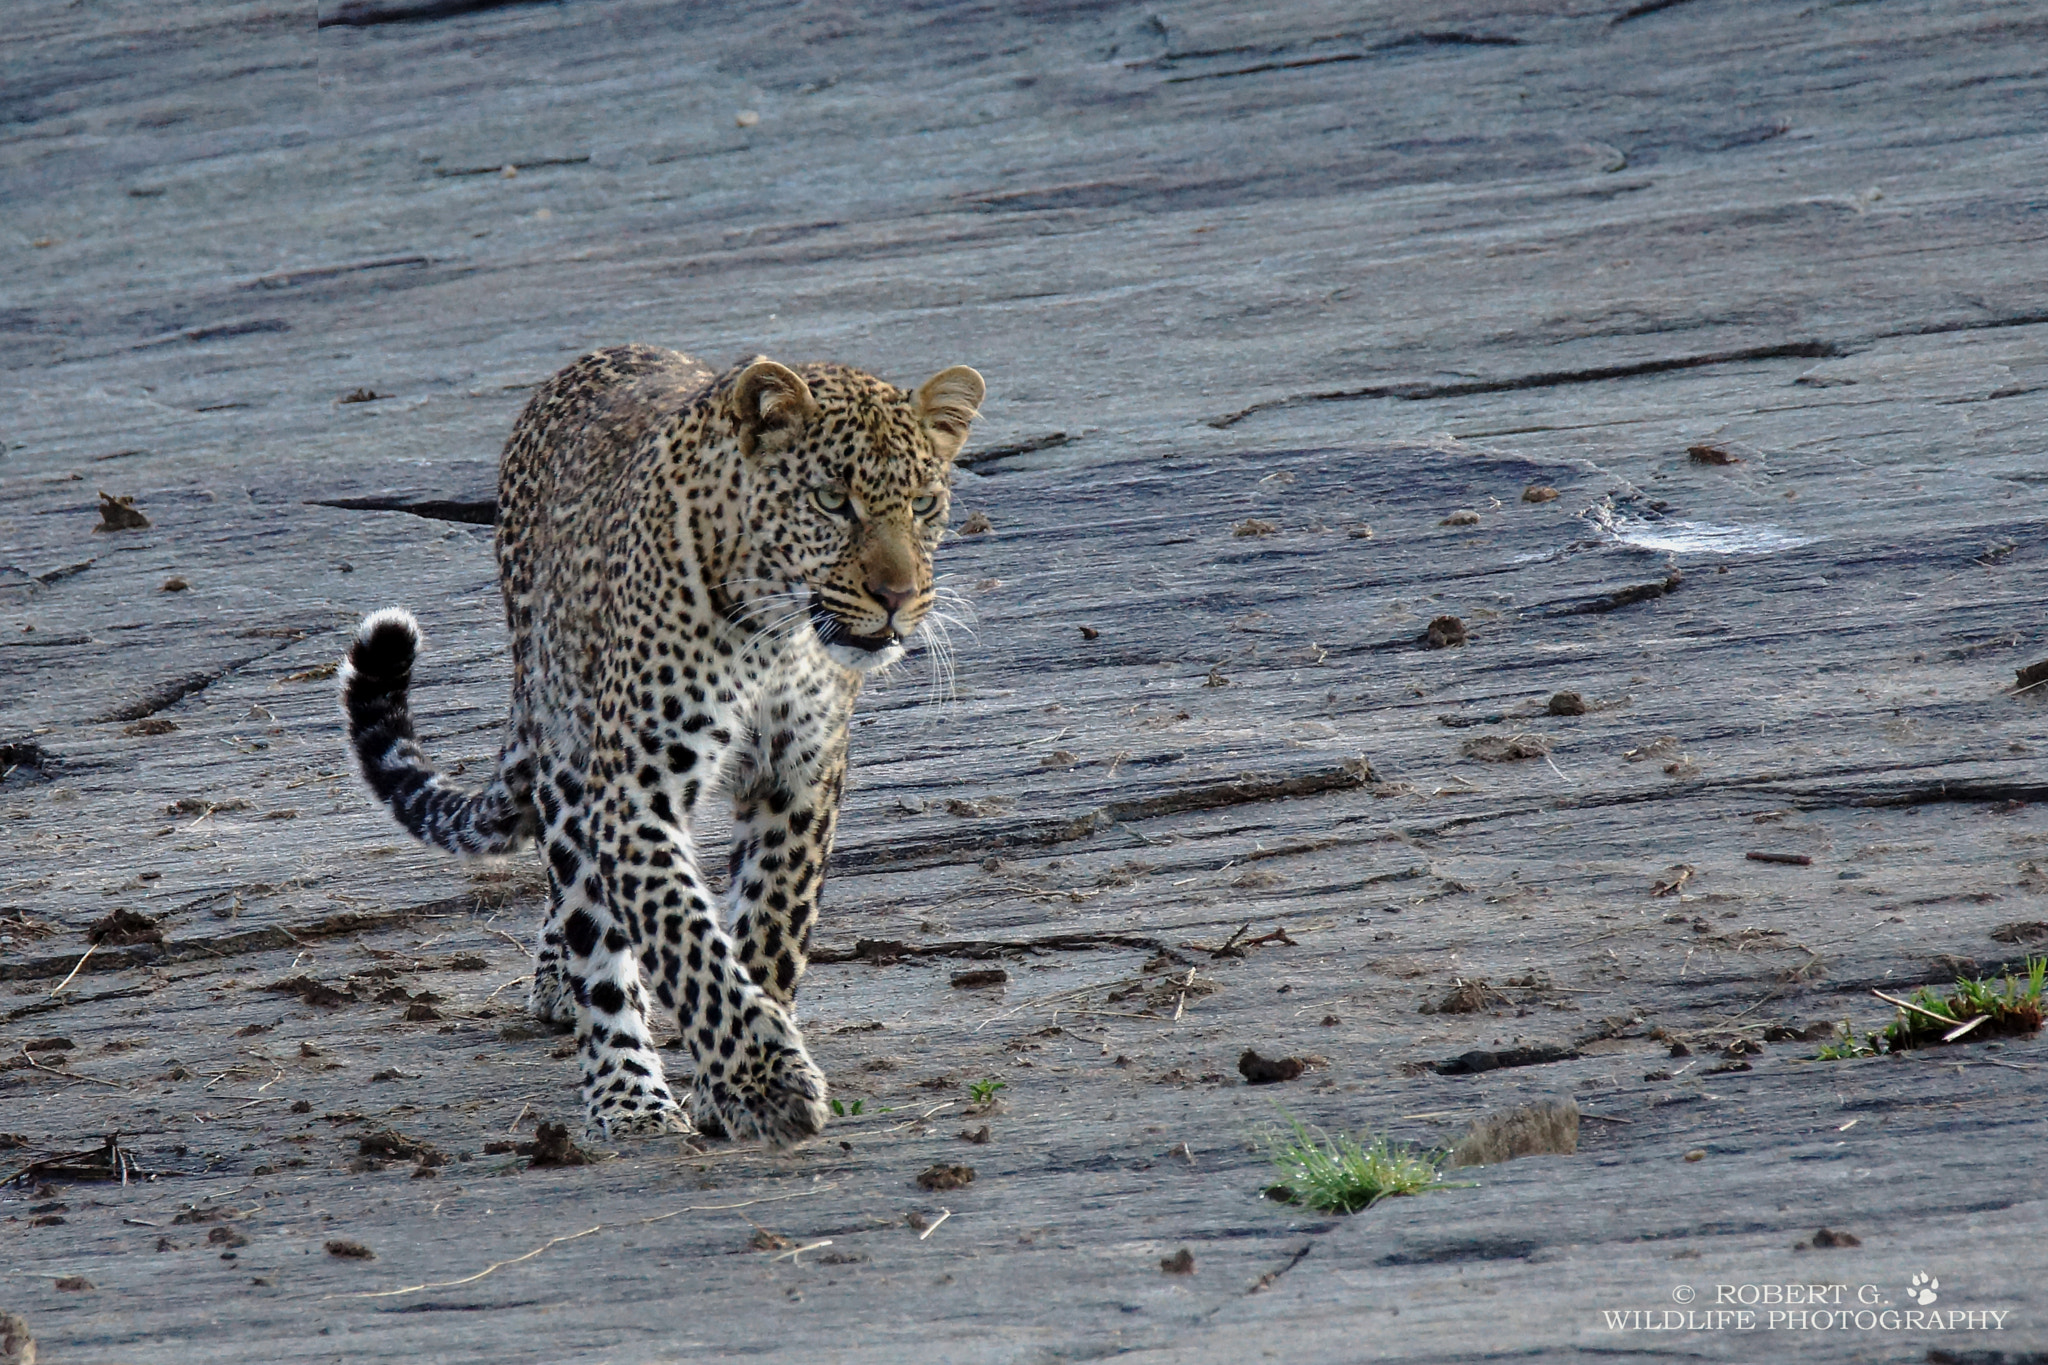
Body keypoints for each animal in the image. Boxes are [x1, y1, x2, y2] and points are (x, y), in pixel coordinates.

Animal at [342, 341, 983, 1146]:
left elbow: (769, 925)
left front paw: (731, 1076)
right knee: (589, 918)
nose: (899, 597)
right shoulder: (633, 794)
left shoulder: (801, 777)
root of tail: (596, 356)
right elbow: (686, 935)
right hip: (566, 740)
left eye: (924, 505)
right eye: (833, 501)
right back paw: (624, 1088)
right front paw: (763, 1084)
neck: (777, 636)